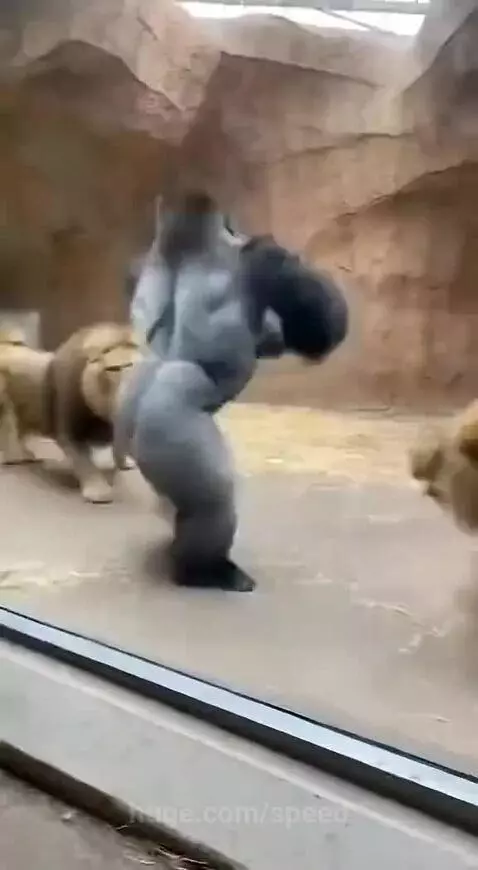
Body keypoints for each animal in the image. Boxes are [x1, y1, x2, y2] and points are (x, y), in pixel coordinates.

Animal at [0, 322, 144, 503]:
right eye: (113, 369)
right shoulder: (69, 430)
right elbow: (84, 462)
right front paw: (99, 492)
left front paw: (125, 464)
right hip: (5, 405)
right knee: (10, 432)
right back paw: (17, 457)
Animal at [116, 191, 349, 592]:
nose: (237, 225)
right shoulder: (258, 260)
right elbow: (313, 330)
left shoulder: (137, 263)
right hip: (169, 434)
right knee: (213, 503)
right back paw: (202, 571)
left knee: (177, 504)